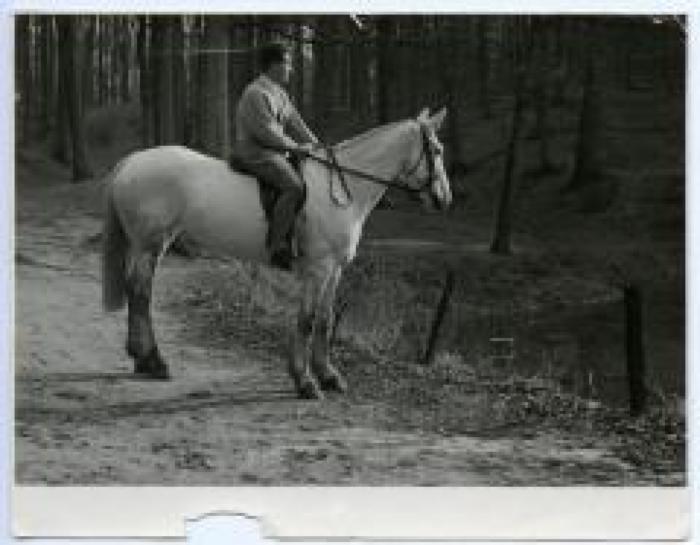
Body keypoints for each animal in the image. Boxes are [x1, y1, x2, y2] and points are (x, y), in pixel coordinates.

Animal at [101, 107, 452, 400]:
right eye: (436, 150)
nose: (444, 199)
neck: (342, 189)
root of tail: (132, 161)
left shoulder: (335, 270)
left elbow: (325, 320)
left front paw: (328, 376)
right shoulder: (318, 270)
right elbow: (307, 320)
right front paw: (304, 381)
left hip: (152, 244)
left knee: (138, 291)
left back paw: (143, 360)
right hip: (149, 244)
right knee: (141, 293)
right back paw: (154, 361)